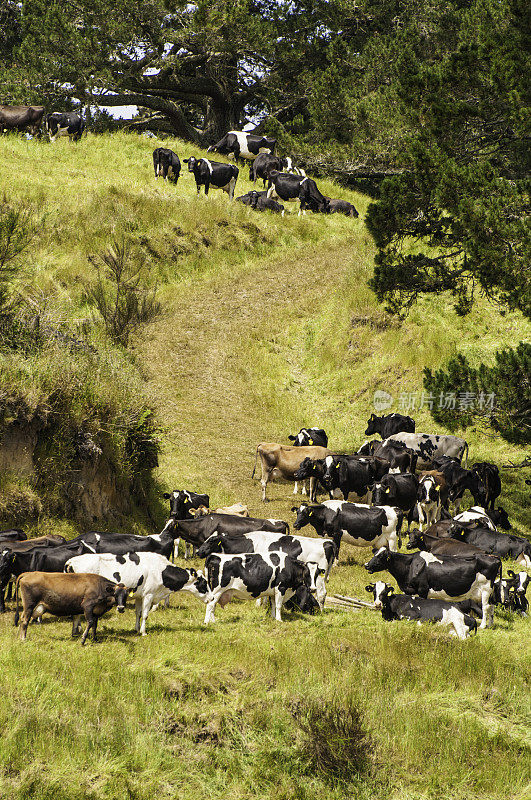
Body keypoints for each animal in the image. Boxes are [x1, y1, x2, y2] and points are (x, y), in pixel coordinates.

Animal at [67, 552, 213, 636]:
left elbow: (138, 613)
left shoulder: (138, 595)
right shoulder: (149, 594)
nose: (212, 598)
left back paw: (76, 630)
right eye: (203, 583)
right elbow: (145, 615)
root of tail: (71, 561)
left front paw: (136, 629)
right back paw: (76, 631)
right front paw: (143, 632)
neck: (160, 570)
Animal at [195, 532, 336, 608]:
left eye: (211, 541)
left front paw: (258, 604)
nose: (198, 552)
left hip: (318, 578)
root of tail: (327, 542)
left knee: (321, 594)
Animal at [364, 548, 500, 628]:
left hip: (485, 589)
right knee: (492, 606)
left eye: (381, 556)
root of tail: (494, 557)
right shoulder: (409, 590)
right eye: (374, 554)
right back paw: (491, 625)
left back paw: (483, 625)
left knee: (486, 607)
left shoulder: (422, 589)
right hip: (489, 592)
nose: (366, 565)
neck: (410, 565)